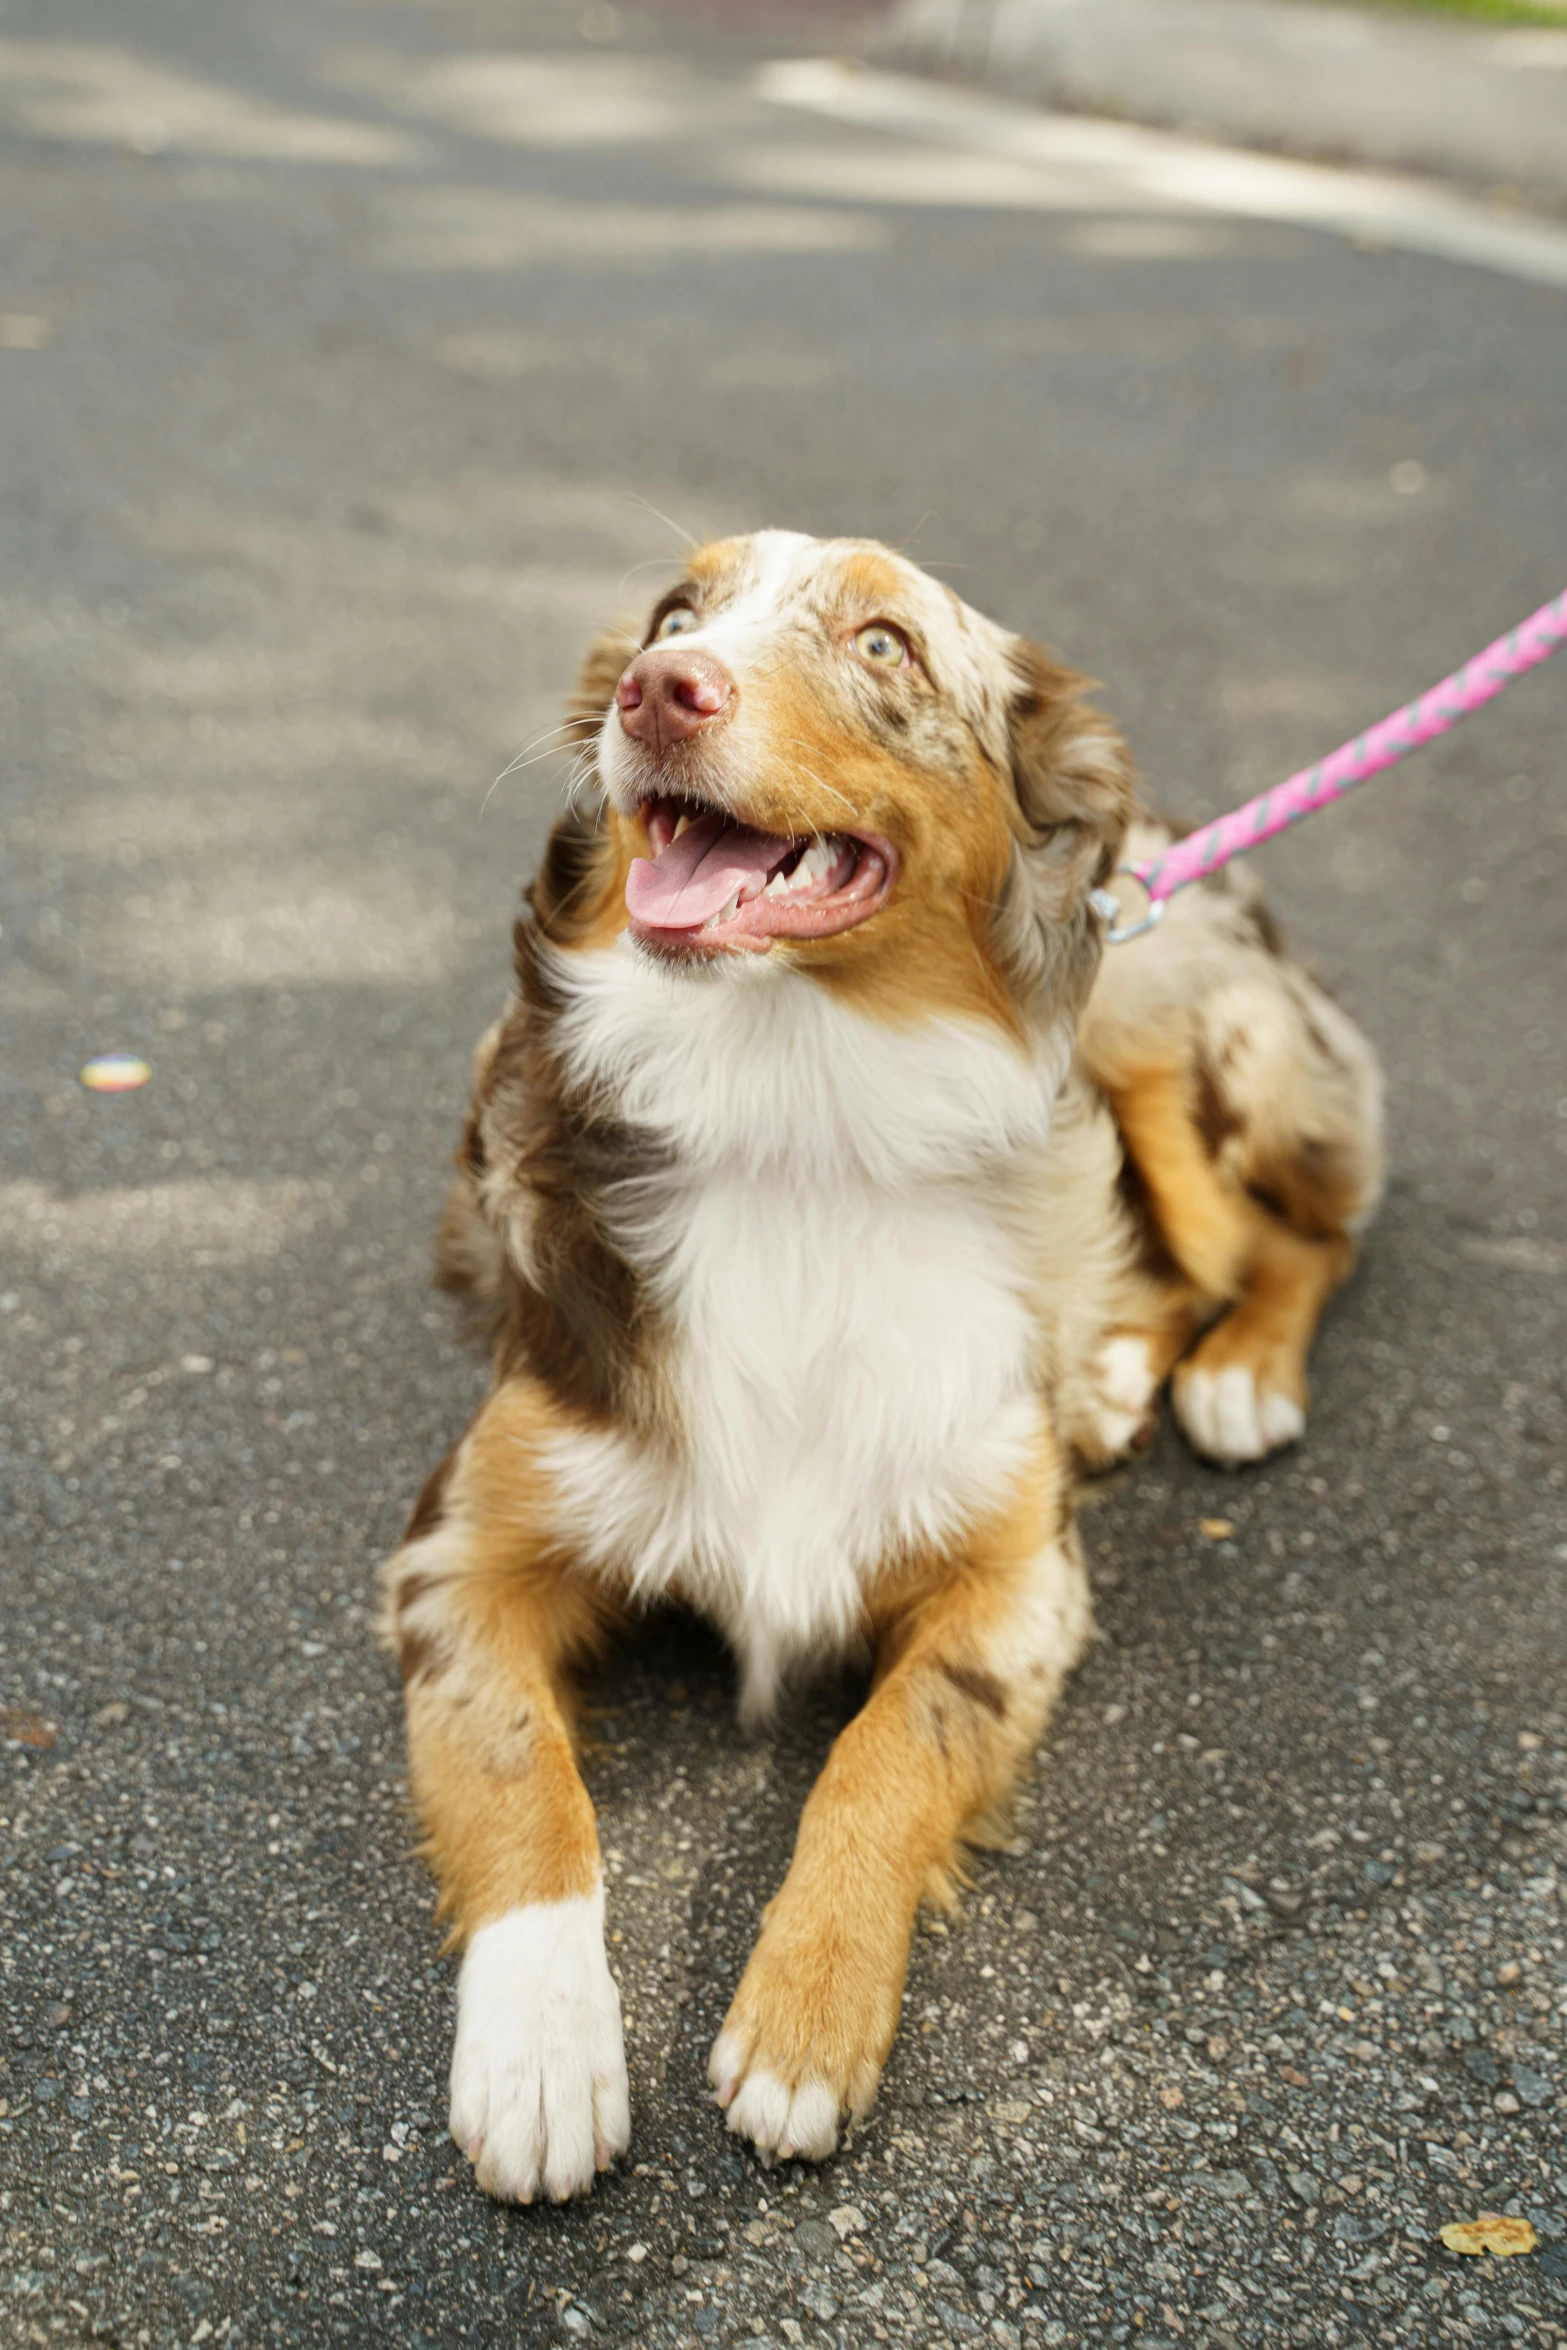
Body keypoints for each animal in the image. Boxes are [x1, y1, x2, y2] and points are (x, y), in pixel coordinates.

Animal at [382, 528, 1381, 2199]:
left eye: (883, 644)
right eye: (671, 614)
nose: (660, 689)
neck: (794, 1111)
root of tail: (1184, 846)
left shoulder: (1018, 1581)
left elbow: (883, 1748)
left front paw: (803, 2013)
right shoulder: (454, 1550)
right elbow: (521, 1766)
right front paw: (537, 2050)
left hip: (1157, 1034)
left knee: (1277, 1237)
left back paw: (1229, 1371)